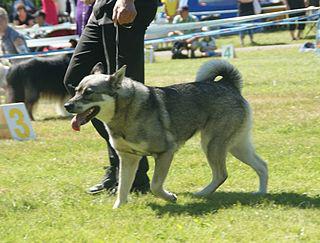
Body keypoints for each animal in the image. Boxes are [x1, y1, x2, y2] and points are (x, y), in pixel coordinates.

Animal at [64, 59, 268, 208]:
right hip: (236, 146)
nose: (67, 106)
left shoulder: (165, 153)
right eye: (76, 91)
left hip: (212, 145)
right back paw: (261, 193)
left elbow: (155, 185)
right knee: (262, 165)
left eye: (89, 93)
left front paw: (170, 197)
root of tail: (228, 84)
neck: (125, 111)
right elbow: (123, 187)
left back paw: (201, 194)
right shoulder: (128, 158)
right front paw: (118, 208)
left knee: (222, 174)